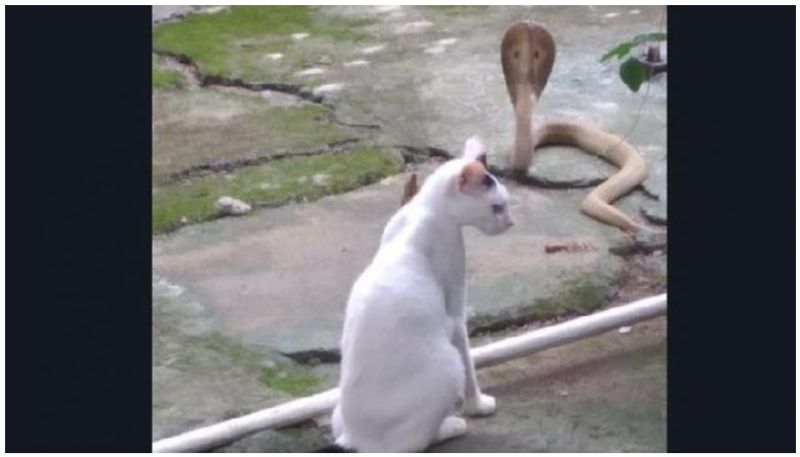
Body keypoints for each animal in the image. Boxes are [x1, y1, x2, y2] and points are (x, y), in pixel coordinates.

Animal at [330, 136, 512, 452]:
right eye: (497, 207)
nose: (510, 223)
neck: (423, 208)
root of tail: (355, 438)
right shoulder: (455, 310)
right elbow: (469, 362)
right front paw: (477, 405)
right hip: (447, 365)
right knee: (411, 443)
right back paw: (451, 425)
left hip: (336, 413)